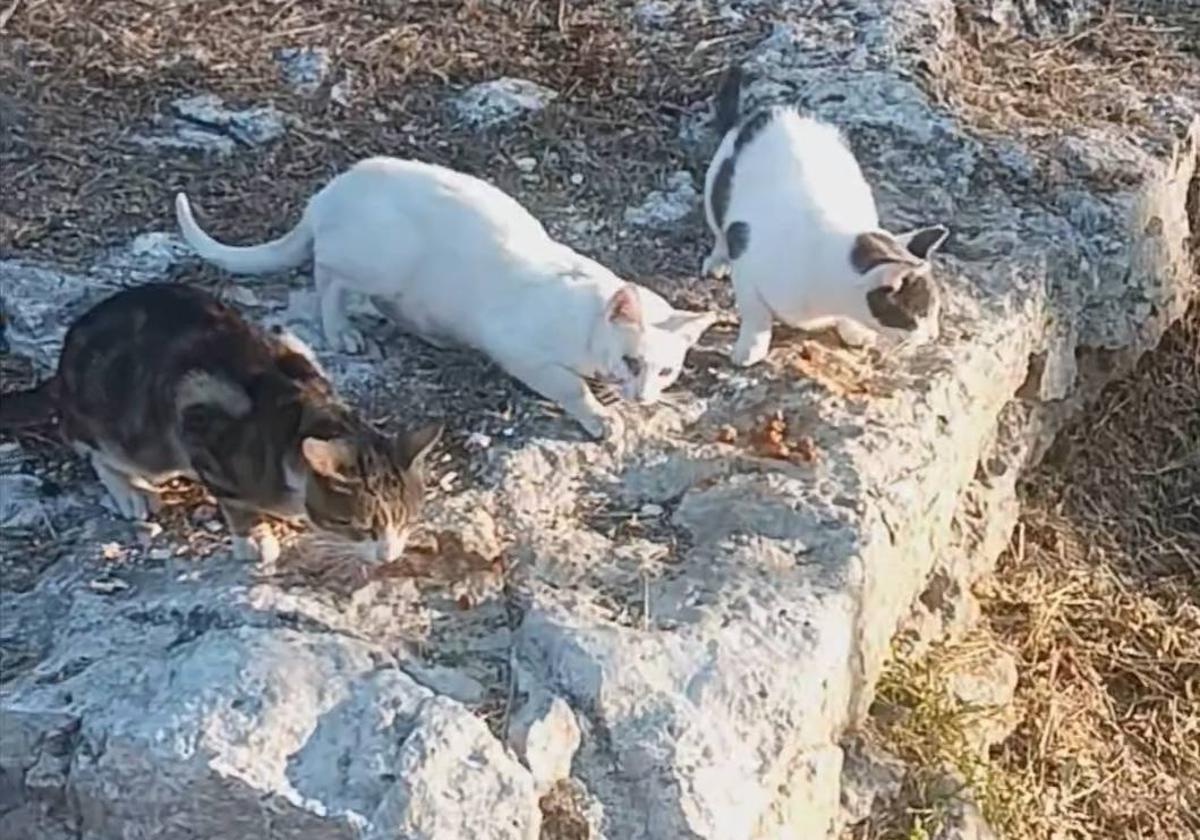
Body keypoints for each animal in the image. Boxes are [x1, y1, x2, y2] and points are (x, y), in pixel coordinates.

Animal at [1, 284, 441, 564]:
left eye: (406, 520)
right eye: (362, 526)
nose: (389, 556)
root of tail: (65, 361)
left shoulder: (295, 346)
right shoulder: (197, 408)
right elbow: (235, 501)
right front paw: (256, 538)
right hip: (141, 438)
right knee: (82, 438)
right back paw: (129, 491)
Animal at [175, 159, 715, 444]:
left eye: (666, 371)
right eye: (632, 360)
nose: (643, 395)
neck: (585, 324)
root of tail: (331, 190)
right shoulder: (516, 346)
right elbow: (570, 386)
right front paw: (599, 416)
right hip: (382, 257)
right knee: (326, 275)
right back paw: (341, 330)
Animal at [700, 67, 945, 364]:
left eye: (935, 310)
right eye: (920, 314)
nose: (933, 336)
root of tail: (775, 110)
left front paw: (855, 330)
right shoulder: (745, 252)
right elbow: (755, 313)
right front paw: (750, 348)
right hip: (715, 186)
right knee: (718, 229)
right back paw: (718, 260)